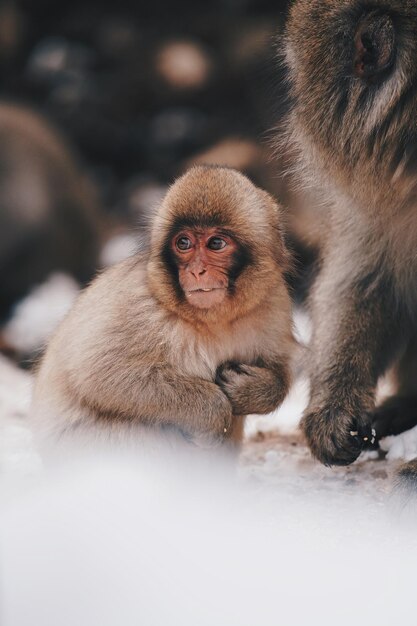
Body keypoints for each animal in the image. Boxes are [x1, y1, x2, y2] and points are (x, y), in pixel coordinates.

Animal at [31, 166, 292, 448]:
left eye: (216, 244)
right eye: (184, 243)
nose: (196, 271)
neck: (212, 320)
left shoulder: (274, 301)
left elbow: (281, 369)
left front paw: (252, 389)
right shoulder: (139, 306)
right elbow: (99, 373)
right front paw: (213, 409)